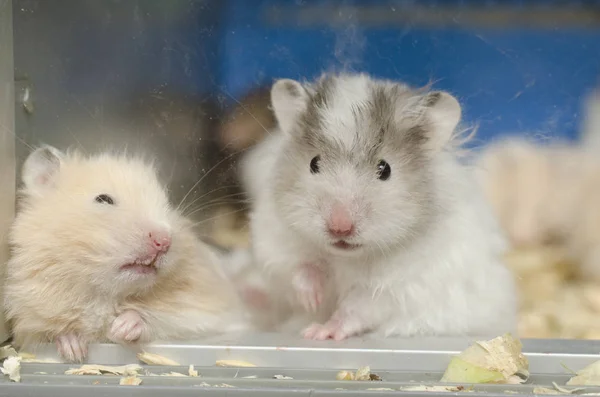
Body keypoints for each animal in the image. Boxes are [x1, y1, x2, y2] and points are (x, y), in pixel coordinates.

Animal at [4, 145, 251, 362]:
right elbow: (50, 330)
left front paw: (120, 328)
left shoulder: (209, 312)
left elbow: (163, 318)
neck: (106, 296)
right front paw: (74, 351)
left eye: (167, 204)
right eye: (103, 199)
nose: (164, 241)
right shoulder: (27, 318)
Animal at [241, 72, 516, 338]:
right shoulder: (275, 239)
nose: (340, 228)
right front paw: (312, 300)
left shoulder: (396, 287)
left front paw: (319, 332)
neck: (346, 258)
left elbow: (356, 311)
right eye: (314, 163)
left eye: (385, 169)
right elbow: (298, 268)